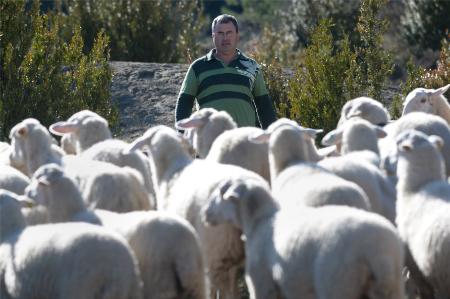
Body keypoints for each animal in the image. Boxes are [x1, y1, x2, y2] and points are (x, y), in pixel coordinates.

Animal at [24, 164, 207, 299]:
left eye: (37, 180)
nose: (25, 191)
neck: (72, 212)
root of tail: (184, 247)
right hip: (196, 285)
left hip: (159, 282)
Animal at [203, 178, 404, 299]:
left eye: (220, 193)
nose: (204, 213)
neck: (259, 221)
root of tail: (376, 251)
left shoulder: (262, 283)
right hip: (392, 286)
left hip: (338, 283)